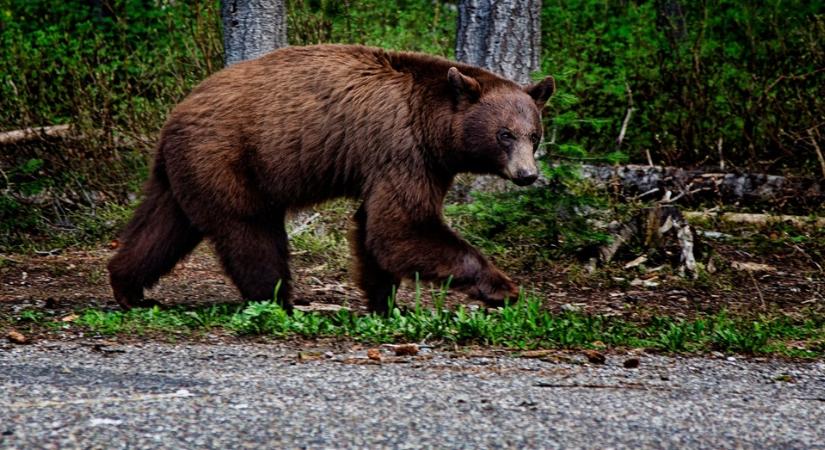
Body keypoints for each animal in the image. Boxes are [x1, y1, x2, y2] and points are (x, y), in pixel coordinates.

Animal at [108, 45, 552, 312]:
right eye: (504, 134)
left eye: (534, 134)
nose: (527, 174)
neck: (433, 124)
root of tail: (174, 115)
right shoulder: (401, 150)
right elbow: (402, 227)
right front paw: (504, 287)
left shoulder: (423, 163)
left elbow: (376, 231)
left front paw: (385, 303)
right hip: (226, 158)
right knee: (250, 230)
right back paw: (279, 301)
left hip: (182, 171)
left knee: (163, 226)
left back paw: (128, 288)